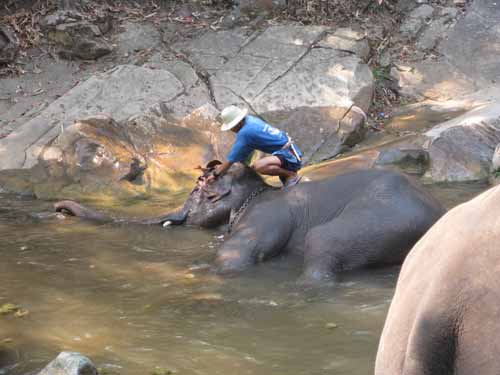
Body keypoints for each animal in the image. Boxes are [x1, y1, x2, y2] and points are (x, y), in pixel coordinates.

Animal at [55, 163, 446, 284]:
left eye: (195, 190)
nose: (60, 208)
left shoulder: (263, 218)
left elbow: (236, 259)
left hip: (381, 218)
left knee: (323, 241)